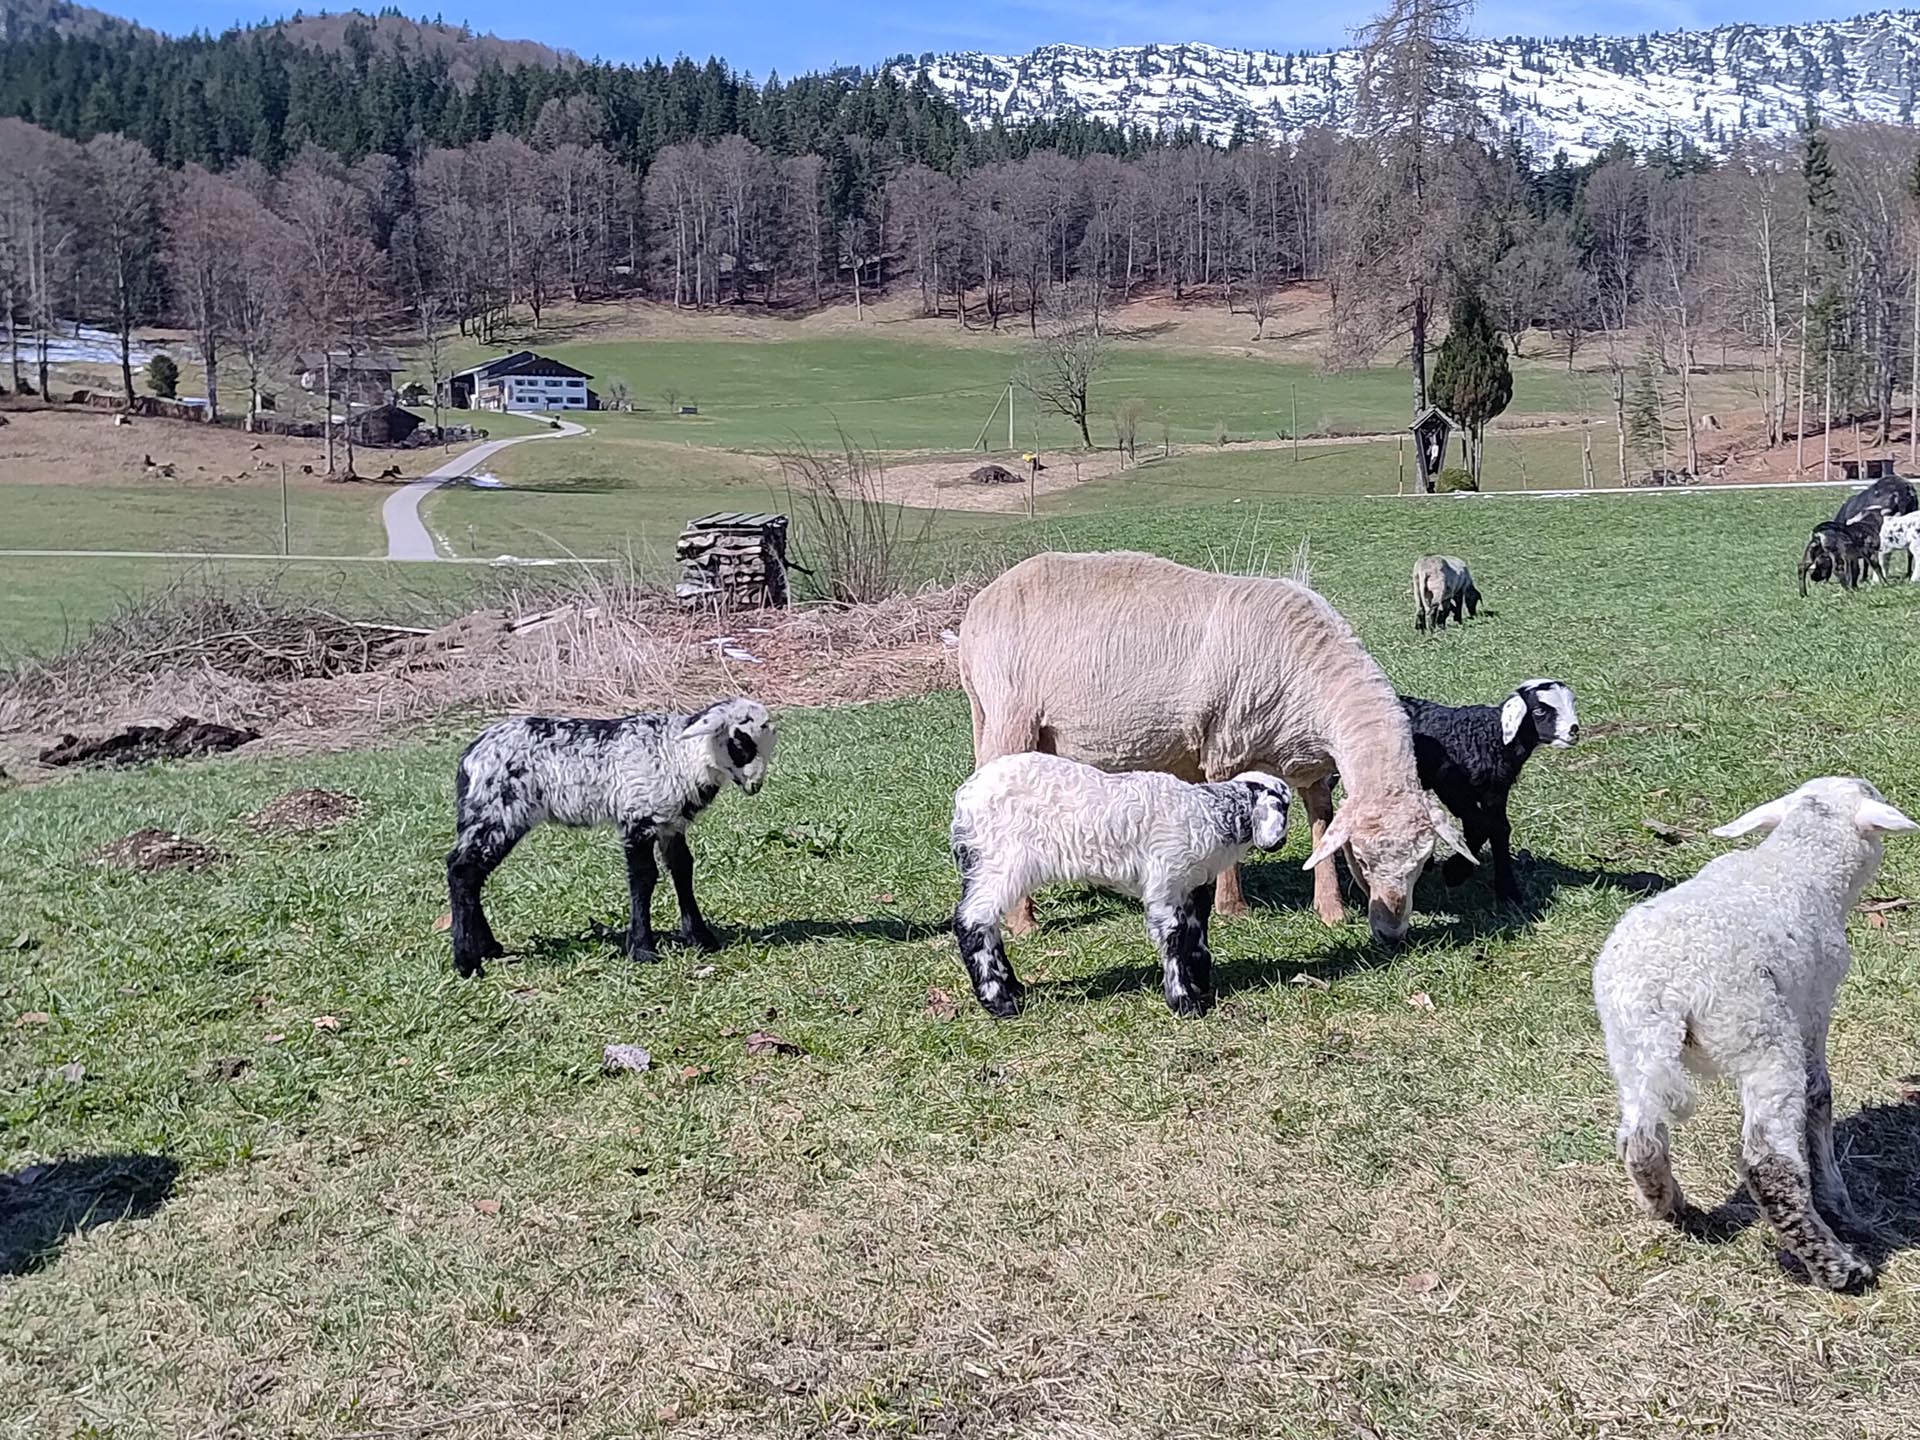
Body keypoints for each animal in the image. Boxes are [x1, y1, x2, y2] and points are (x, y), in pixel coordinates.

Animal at [444, 698, 776, 978]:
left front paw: (701, 937)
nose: (755, 786)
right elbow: (644, 877)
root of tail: (470, 756)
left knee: (469, 873)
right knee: (462, 871)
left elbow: (682, 870)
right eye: (740, 743)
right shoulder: (637, 818)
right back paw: (467, 962)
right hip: (498, 811)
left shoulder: (670, 824)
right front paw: (642, 948)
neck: (679, 756)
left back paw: (488, 948)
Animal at [950, 754, 1293, 1018]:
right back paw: (1000, 1002)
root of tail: (965, 797)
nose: (1281, 841)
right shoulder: (1165, 882)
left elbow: (1197, 936)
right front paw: (1184, 1002)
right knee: (971, 920)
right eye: (1285, 807)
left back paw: (1015, 988)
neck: (1208, 812)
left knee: (987, 922)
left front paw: (1201, 986)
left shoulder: (1194, 884)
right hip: (1000, 861)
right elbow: (1174, 936)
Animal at [959, 550, 1474, 947]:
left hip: (1002, 721)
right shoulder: (1225, 745)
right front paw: (1232, 908)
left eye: (1423, 863)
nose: (1390, 933)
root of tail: (979, 603)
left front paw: (1330, 910)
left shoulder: (1311, 767)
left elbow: (1321, 826)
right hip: (1011, 716)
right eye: (1363, 860)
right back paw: (1022, 922)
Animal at [1397, 679, 1579, 904]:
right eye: (1539, 711)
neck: (1489, 737)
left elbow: (1498, 829)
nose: (1574, 731)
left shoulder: (1495, 792)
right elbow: (1482, 826)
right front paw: (1455, 871)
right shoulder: (1454, 788)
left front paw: (1507, 890)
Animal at [1592, 777, 1918, 1292]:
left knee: (1640, 1137)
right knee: (1768, 1163)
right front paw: (1838, 1198)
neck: (1795, 860)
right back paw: (1839, 1267)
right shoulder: (1814, 1005)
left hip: (1628, 1045)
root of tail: (1663, 989)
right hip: (1760, 1034)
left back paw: (1670, 1205)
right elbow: (1819, 1095)